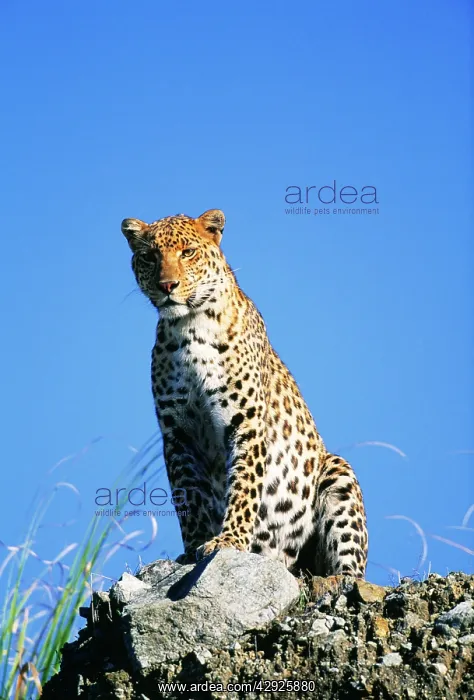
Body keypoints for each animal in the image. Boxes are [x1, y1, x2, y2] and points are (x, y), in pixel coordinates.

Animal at [121, 209, 368, 577]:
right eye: (150, 256)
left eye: (187, 253)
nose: (167, 286)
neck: (190, 328)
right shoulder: (178, 433)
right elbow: (188, 495)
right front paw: (193, 547)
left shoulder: (245, 422)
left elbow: (244, 486)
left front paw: (230, 540)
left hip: (338, 473)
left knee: (347, 569)